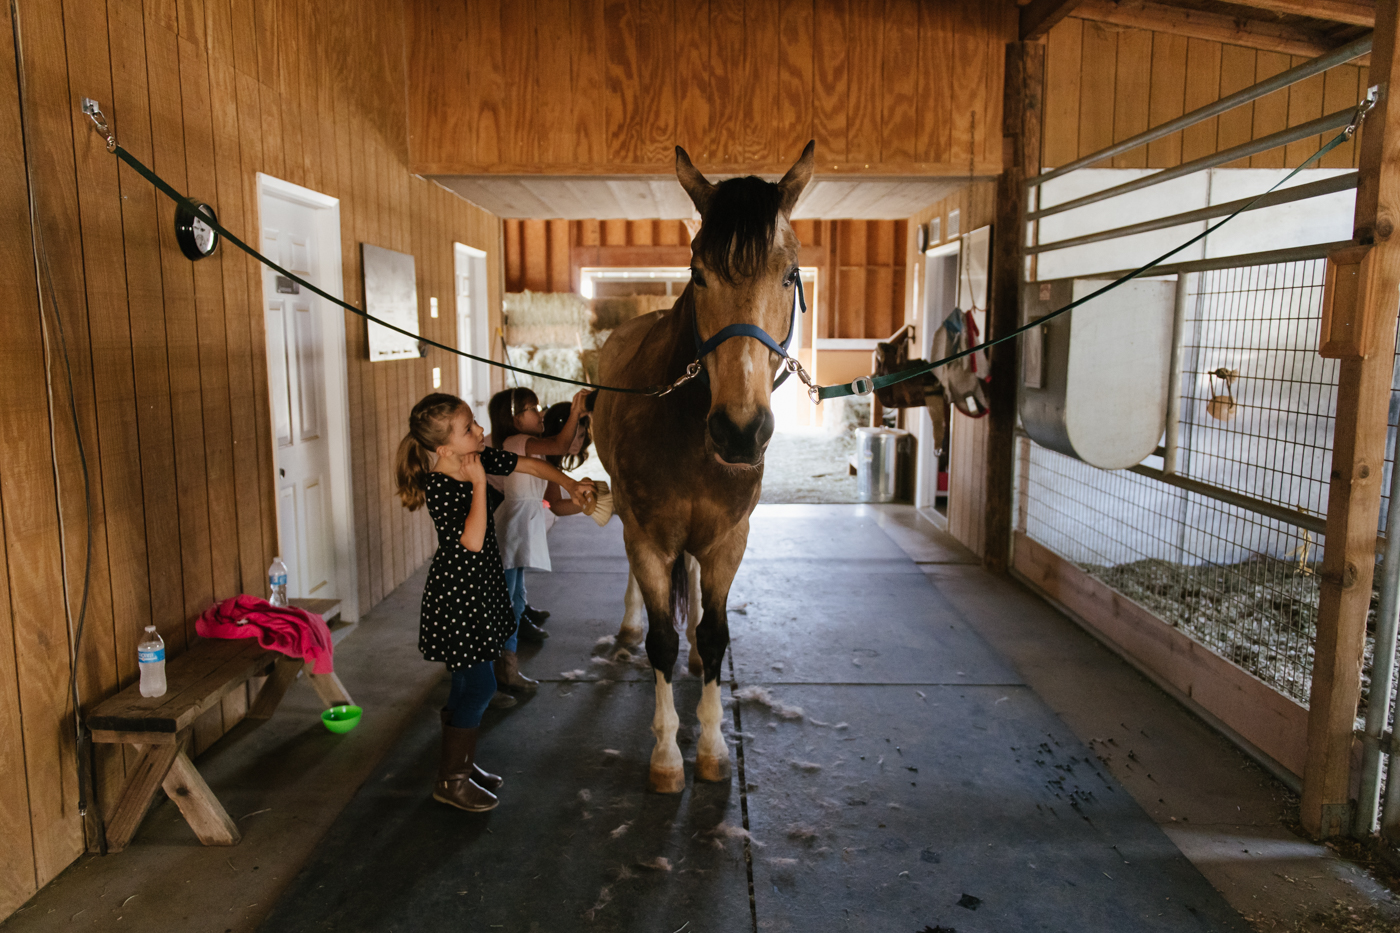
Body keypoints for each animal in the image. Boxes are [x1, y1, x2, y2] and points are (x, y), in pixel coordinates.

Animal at [593, 141, 817, 790]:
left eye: (789, 275)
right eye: (698, 273)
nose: (740, 431)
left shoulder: (727, 539)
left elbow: (715, 635)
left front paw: (714, 747)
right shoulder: (646, 535)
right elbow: (661, 640)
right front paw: (668, 756)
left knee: (690, 586)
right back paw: (628, 628)